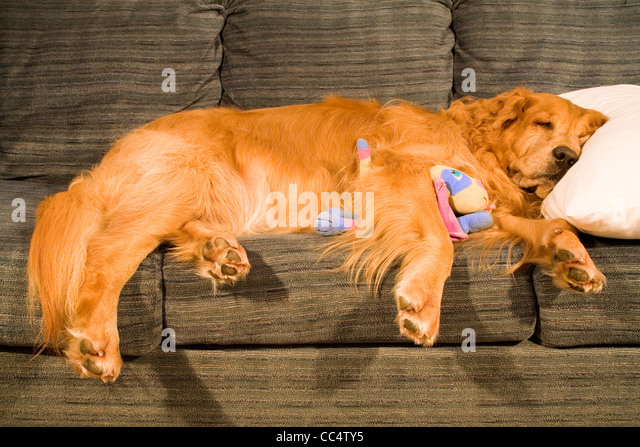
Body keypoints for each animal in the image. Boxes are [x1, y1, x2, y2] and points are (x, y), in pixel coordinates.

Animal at [27, 87, 608, 382]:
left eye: (584, 139)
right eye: (542, 125)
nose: (568, 158)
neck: (473, 141)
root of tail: (97, 167)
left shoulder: (487, 207)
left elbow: (552, 223)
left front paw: (574, 260)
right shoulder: (396, 174)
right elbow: (440, 243)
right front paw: (422, 302)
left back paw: (219, 253)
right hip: (183, 175)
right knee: (107, 252)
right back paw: (97, 341)